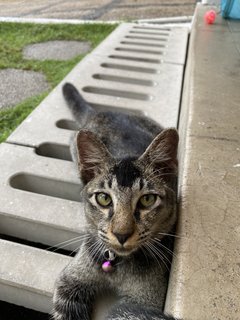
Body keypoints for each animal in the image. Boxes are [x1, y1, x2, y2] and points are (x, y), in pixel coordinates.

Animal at [53, 83, 179, 320]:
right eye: (103, 198)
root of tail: (101, 112)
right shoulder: (69, 282)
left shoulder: (144, 301)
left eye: (147, 200)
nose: (121, 234)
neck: (116, 264)